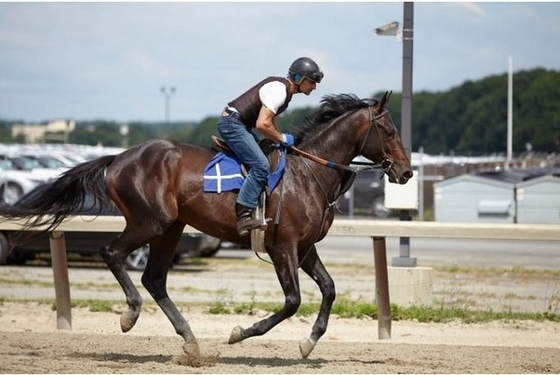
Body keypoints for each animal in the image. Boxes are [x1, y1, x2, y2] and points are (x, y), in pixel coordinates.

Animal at [0, 90, 412, 362]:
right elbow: (292, 301)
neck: (309, 172)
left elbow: (328, 289)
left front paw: (309, 342)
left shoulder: (305, 247)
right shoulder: (283, 247)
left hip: (170, 228)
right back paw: (130, 314)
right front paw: (240, 333)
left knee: (154, 279)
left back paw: (189, 340)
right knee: (111, 252)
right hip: (151, 221)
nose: (406, 172)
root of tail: (117, 158)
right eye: (390, 131)